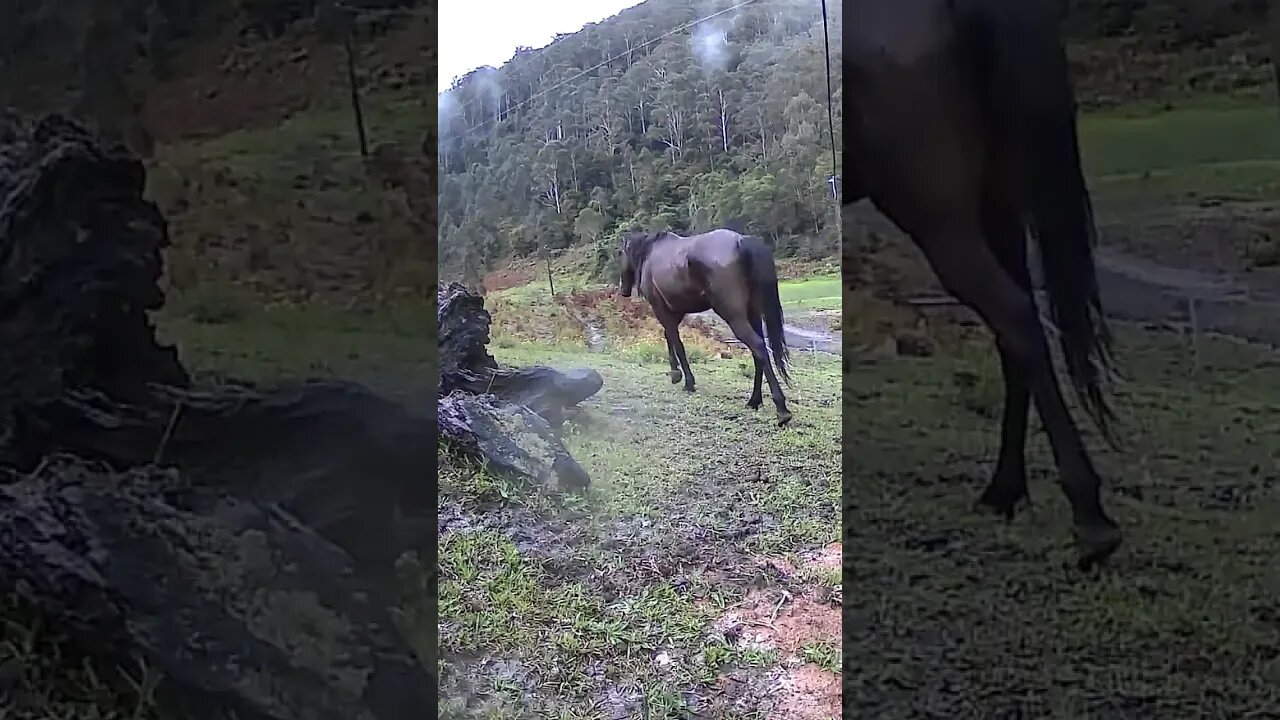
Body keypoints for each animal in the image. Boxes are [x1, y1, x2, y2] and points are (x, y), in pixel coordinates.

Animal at [617, 229, 794, 426]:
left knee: (758, 347)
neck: (650, 252)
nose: (623, 289)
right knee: (758, 353)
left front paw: (686, 380)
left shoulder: (660, 308)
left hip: (734, 317)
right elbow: (669, 336)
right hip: (753, 314)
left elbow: (676, 342)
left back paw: (781, 410)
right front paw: (676, 374)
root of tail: (741, 241)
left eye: (620, 253)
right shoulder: (676, 310)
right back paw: (754, 401)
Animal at [847, 0, 1122, 568]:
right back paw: (1004, 490)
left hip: (937, 215)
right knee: (1015, 330)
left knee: (1015, 317)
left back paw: (1089, 518)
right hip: (995, 199)